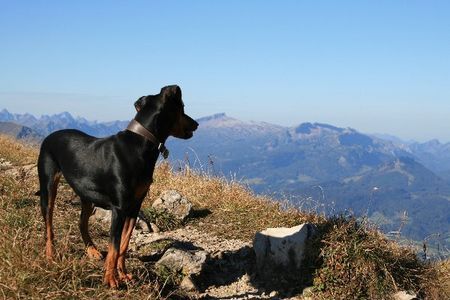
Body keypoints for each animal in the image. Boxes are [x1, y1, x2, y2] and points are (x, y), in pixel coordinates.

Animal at [37, 85, 200, 288]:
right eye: (182, 108)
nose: (196, 124)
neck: (141, 144)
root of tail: (50, 135)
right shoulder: (119, 208)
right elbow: (114, 246)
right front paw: (110, 279)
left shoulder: (134, 207)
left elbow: (124, 243)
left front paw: (122, 274)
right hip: (48, 186)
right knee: (49, 225)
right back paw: (50, 255)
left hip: (87, 195)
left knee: (81, 222)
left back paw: (92, 250)